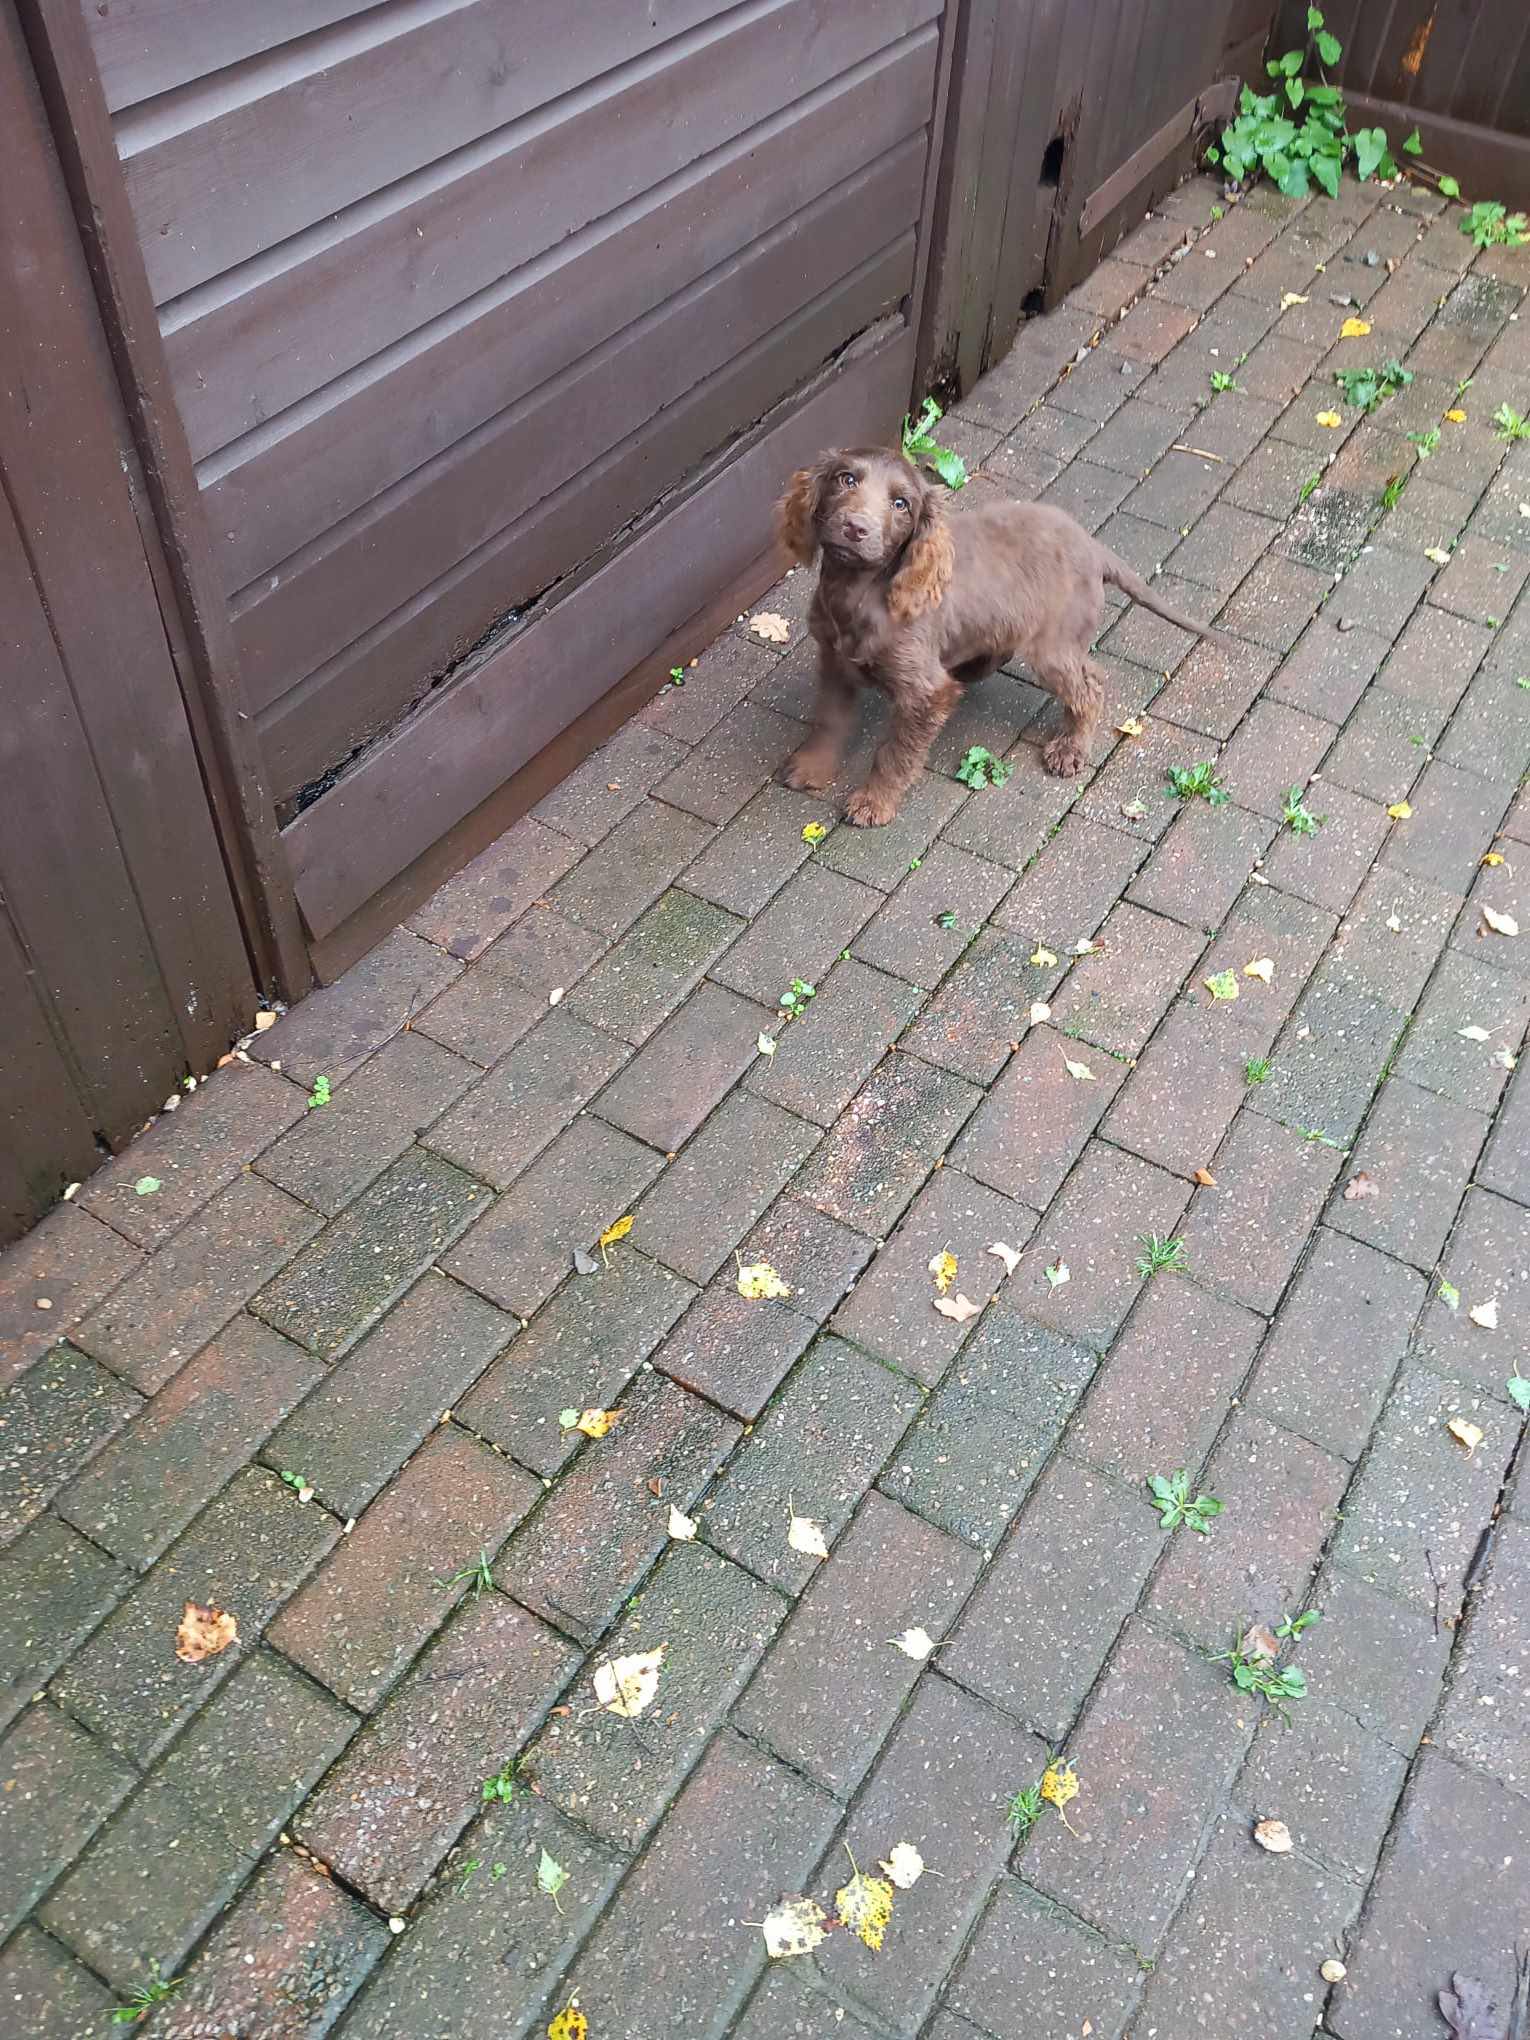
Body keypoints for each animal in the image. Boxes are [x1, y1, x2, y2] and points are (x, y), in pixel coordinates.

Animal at [779, 448, 1232, 828]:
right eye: (846, 479)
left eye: (900, 504)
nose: (856, 528)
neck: (858, 592)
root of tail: (1094, 548)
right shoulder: (834, 660)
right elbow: (829, 719)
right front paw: (812, 767)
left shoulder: (926, 692)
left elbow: (894, 753)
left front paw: (875, 803)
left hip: (1052, 645)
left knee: (1090, 685)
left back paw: (1071, 748)